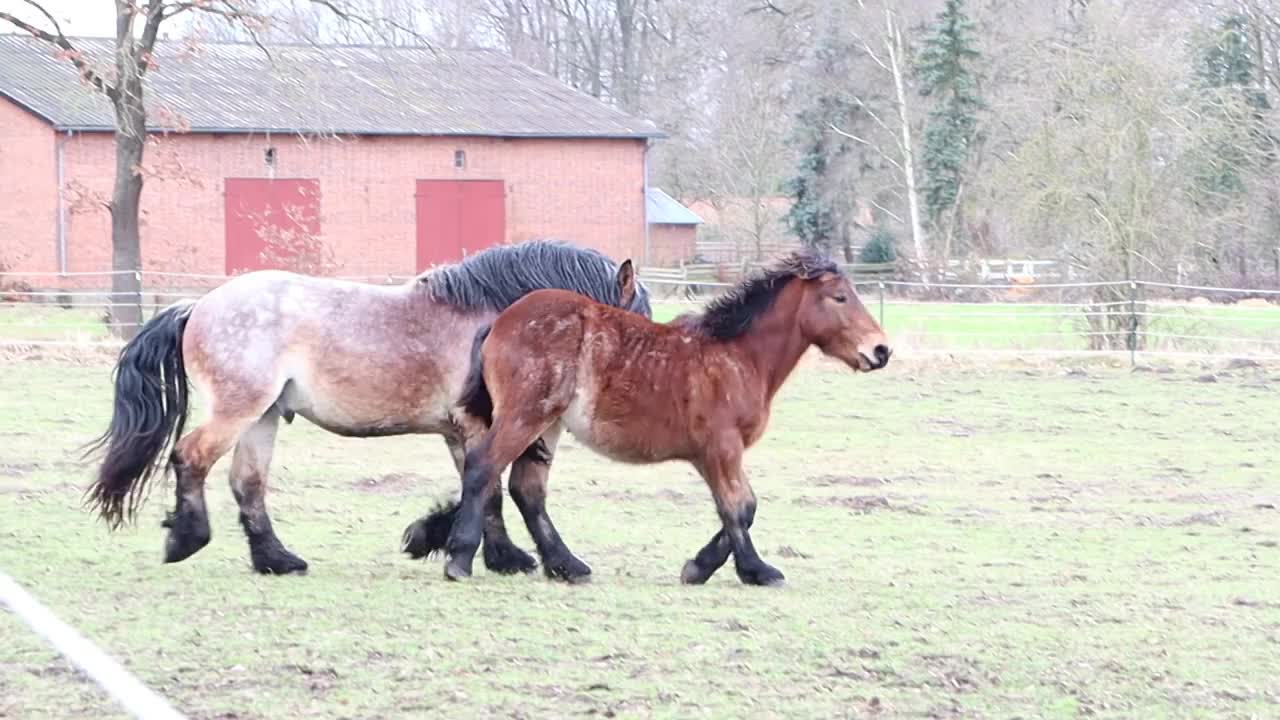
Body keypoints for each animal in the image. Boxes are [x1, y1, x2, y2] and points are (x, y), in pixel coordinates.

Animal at [87, 239, 650, 571]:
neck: (496, 318)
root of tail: (198, 305)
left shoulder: (459, 431)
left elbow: (475, 486)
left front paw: (432, 536)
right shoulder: (477, 425)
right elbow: (488, 489)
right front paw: (507, 557)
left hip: (263, 417)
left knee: (247, 485)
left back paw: (277, 559)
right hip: (237, 409)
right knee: (192, 458)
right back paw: (187, 539)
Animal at [430, 251, 890, 584]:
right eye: (840, 297)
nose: (881, 350)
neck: (736, 355)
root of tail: (499, 322)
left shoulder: (710, 455)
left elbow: (740, 508)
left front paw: (700, 567)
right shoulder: (723, 448)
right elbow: (740, 507)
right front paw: (756, 570)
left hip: (547, 425)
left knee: (527, 490)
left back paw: (567, 566)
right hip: (525, 416)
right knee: (483, 468)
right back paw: (460, 560)